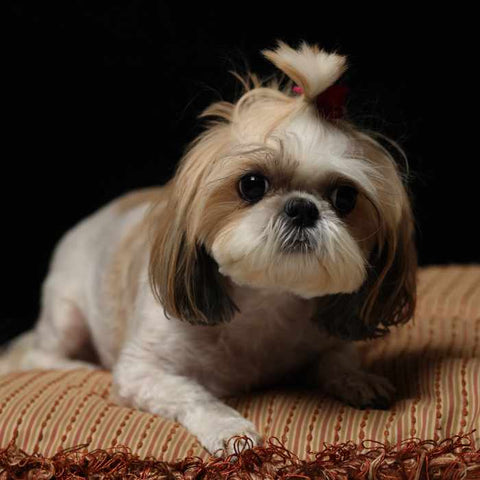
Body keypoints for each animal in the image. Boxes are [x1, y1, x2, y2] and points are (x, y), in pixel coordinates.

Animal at [0, 41, 416, 454]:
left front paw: (358, 379)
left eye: (345, 197)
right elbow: (194, 394)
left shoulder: (327, 336)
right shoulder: (142, 370)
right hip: (65, 313)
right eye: (252, 184)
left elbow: (336, 359)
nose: (302, 208)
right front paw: (229, 428)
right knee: (41, 351)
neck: (266, 304)